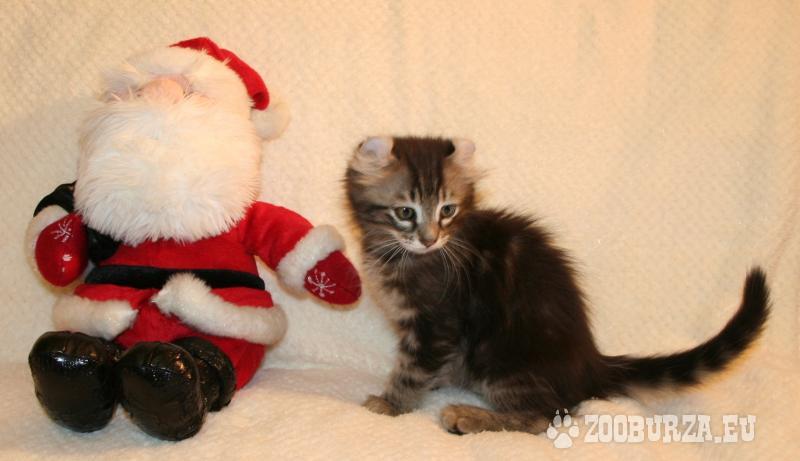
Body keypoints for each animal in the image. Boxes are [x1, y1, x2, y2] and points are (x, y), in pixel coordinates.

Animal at [344, 135, 769, 435]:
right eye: (405, 212)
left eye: (447, 210)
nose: (430, 239)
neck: (401, 254)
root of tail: (592, 362)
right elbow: (431, 365)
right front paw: (432, 383)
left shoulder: (437, 322)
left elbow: (413, 368)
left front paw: (390, 404)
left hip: (504, 358)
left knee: (545, 417)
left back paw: (470, 417)